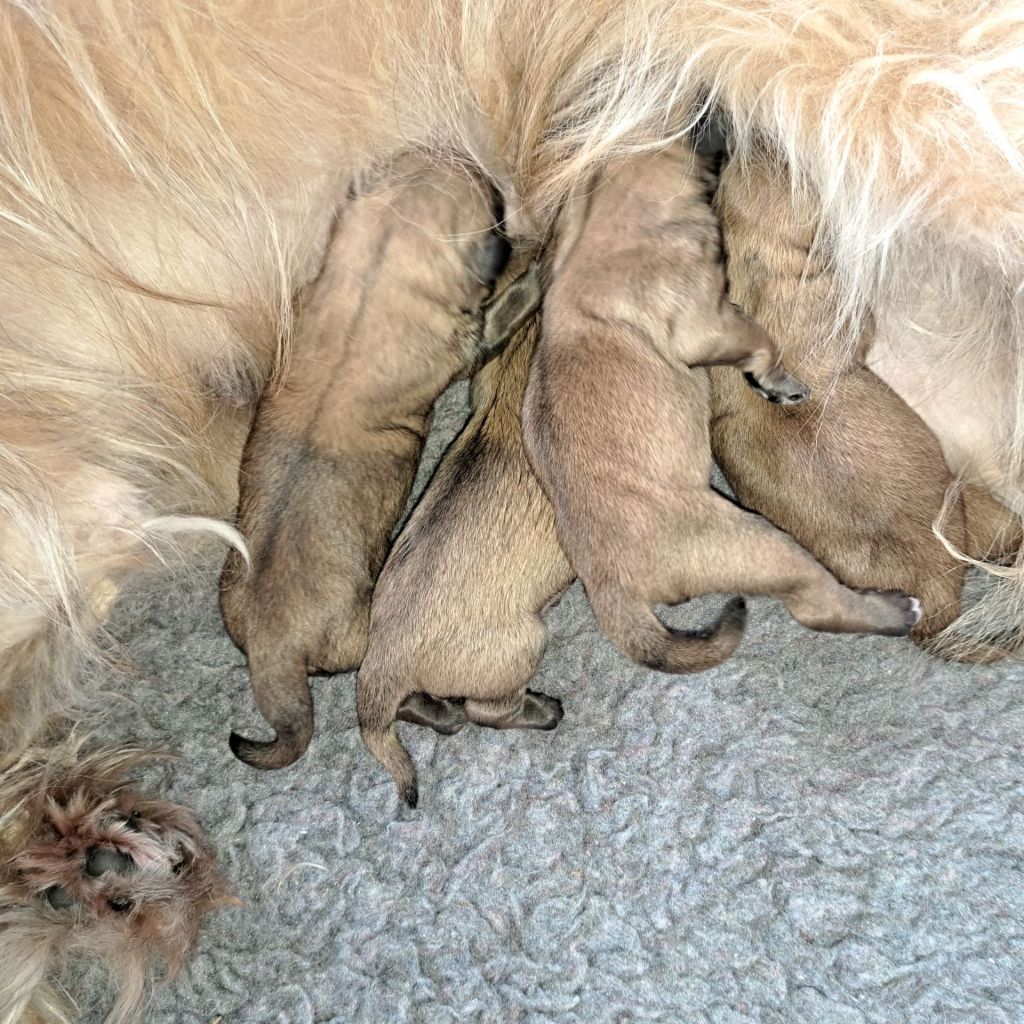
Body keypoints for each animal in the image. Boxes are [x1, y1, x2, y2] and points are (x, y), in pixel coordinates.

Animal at [222, 157, 544, 770]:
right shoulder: (470, 341)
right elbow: (503, 313)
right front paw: (537, 272)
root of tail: (273, 649)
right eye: (489, 204)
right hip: (360, 635)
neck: (371, 277)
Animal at [520, 142, 921, 671]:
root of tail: (610, 587)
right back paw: (895, 610)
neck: (596, 231)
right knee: (816, 604)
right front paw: (776, 383)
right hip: (763, 545)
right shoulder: (705, 323)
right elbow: (761, 343)